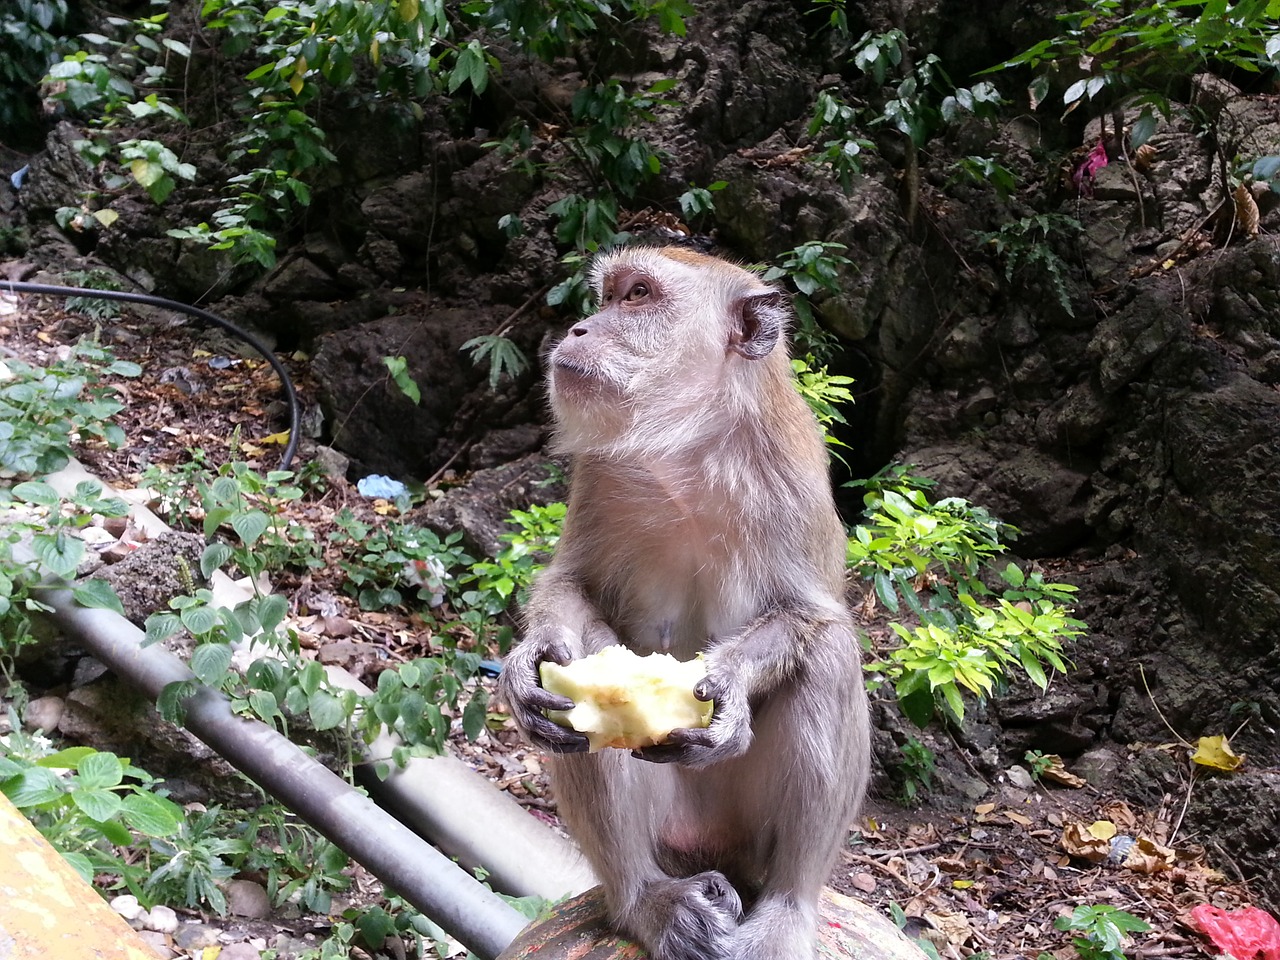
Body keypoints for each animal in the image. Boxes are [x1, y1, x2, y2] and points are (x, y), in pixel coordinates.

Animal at [499, 245, 870, 960]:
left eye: (639, 295)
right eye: (610, 295)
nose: (579, 328)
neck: (688, 449)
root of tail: (711, 849)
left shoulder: (792, 473)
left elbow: (812, 616)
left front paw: (726, 686)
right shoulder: (599, 471)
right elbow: (571, 587)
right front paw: (532, 656)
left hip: (747, 834)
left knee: (830, 657)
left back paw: (786, 910)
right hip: (671, 828)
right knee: (589, 671)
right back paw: (647, 901)